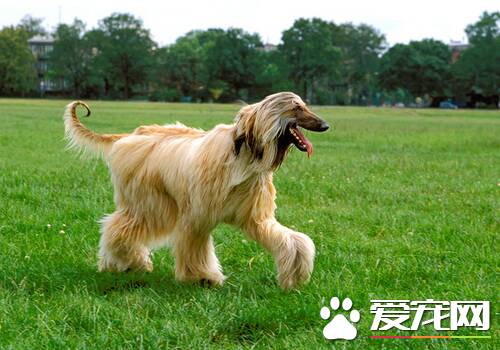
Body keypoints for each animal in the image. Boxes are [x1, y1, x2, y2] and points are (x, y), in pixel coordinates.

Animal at [63, 91, 328, 288]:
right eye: (296, 108)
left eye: (305, 105)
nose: (325, 125)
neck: (245, 157)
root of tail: (131, 136)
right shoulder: (198, 215)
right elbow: (195, 243)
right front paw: (203, 277)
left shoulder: (254, 215)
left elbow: (291, 240)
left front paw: (296, 275)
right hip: (149, 201)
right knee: (120, 227)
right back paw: (125, 262)